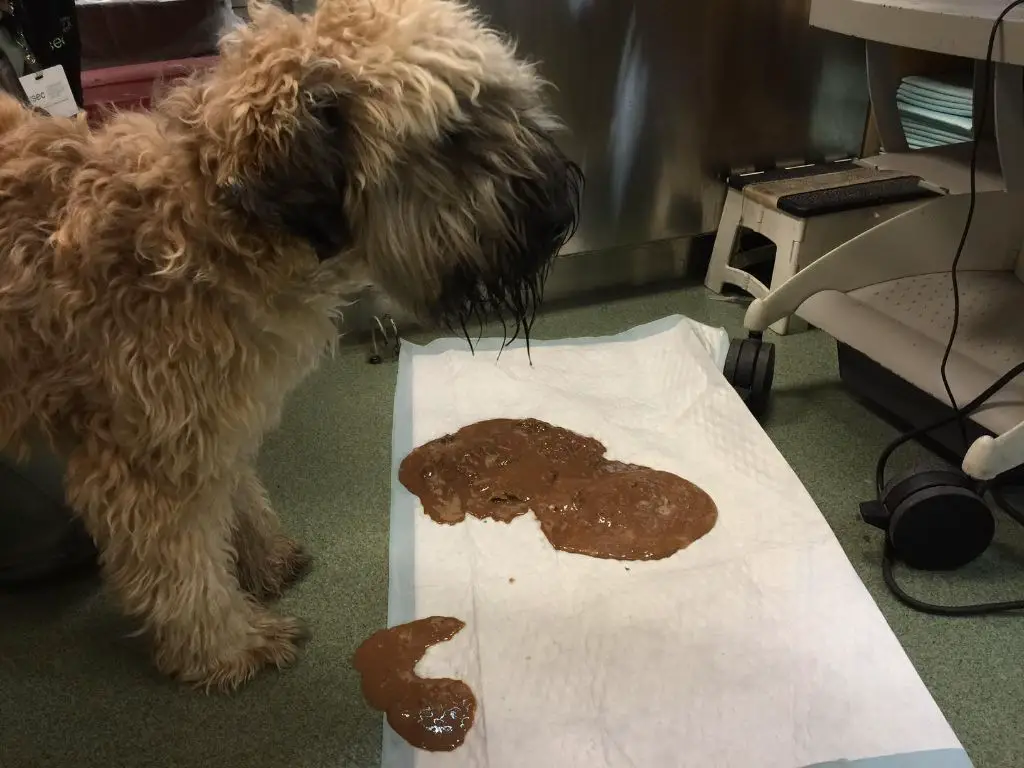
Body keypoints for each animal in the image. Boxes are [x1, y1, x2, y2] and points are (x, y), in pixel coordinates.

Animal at [0, 0, 581, 692]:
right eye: (453, 136)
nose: (561, 215)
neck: (206, 228)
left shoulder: (213, 419)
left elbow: (236, 493)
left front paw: (263, 557)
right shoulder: (148, 458)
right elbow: (180, 569)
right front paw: (226, 645)